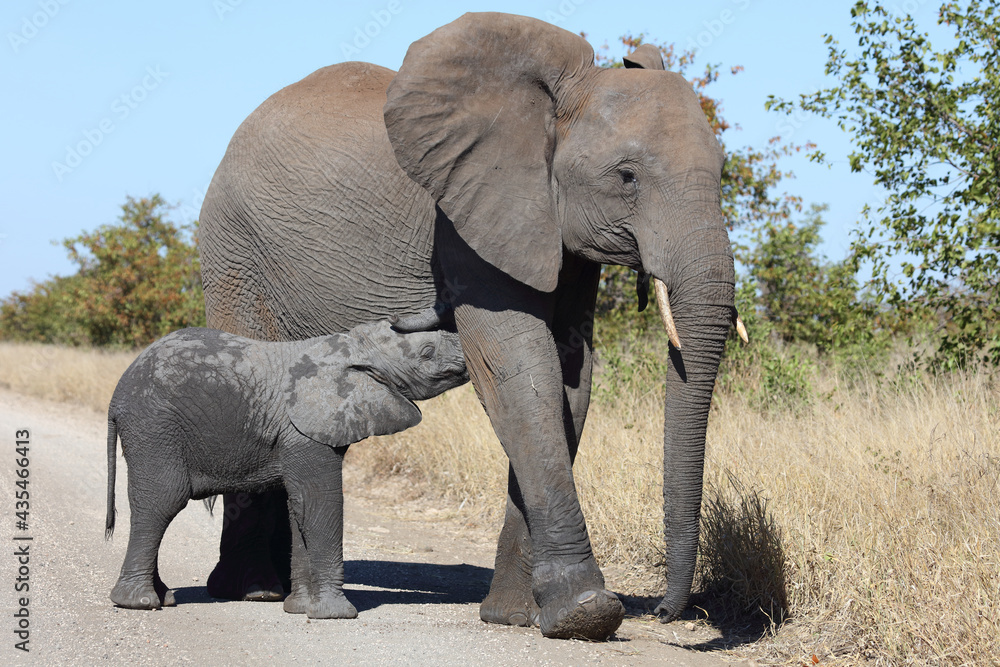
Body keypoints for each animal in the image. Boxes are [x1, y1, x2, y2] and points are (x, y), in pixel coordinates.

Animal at [105, 320, 468, 618]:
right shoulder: (303, 431)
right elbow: (319, 501)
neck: (351, 345)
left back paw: (163, 597)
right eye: (427, 352)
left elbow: (300, 507)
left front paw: (299, 608)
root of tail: (116, 395)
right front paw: (336, 615)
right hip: (154, 426)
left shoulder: (300, 434)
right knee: (162, 501)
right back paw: (139, 603)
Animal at [198, 13, 739, 640]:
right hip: (235, 256)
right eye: (626, 177)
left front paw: (516, 617)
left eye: (723, 172)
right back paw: (251, 590)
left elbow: (570, 377)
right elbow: (517, 367)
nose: (670, 613)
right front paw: (587, 614)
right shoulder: (465, 222)